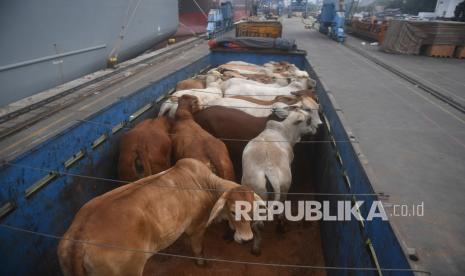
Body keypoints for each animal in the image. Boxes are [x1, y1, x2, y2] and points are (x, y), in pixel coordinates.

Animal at [57, 158, 264, 274]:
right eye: (233, 211)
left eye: (252, 210)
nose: (247, 239)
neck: (205, 183)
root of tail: (79, 239)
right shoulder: (197, 227)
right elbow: (198, 249)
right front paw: (201, 263)